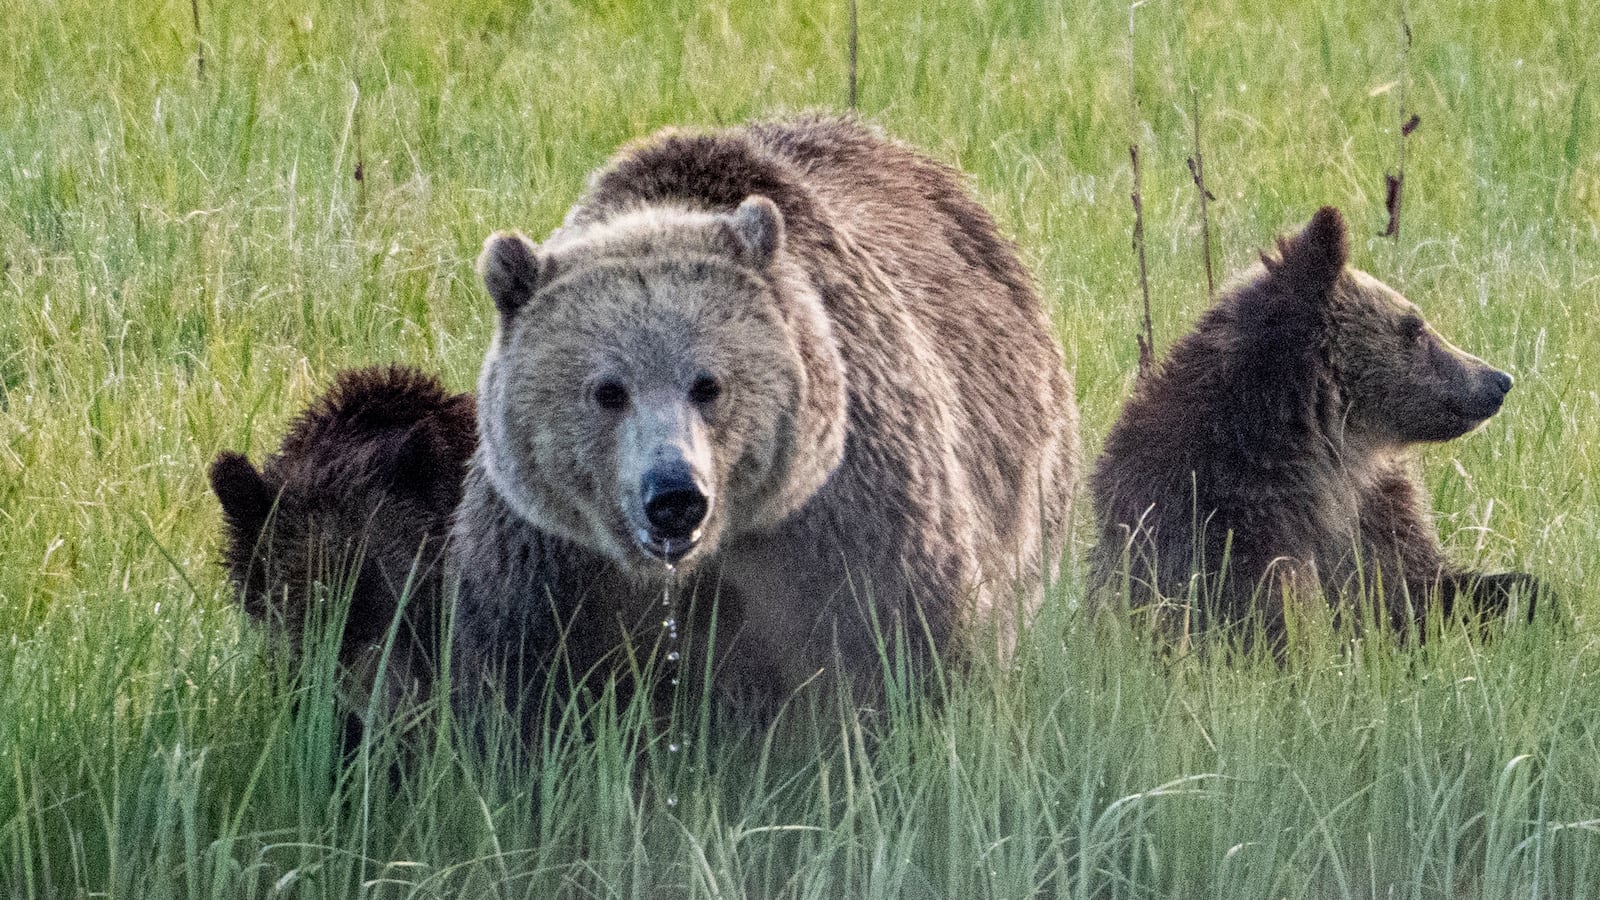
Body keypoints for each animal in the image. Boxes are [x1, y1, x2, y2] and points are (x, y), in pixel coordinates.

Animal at [452, 115, 1080, 722]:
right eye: (608, 391)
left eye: (709, 384)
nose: (675, 495)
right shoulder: (552, 559)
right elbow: (520, 680)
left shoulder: (847, 517)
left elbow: (904, 644)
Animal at [1088, 206, 1543, 648]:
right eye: (1414, 328)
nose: (1499, 380)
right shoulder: (1221, 528)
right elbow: (1275, 623)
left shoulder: (1374, 516)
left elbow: (1424, 589)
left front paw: (1529, 601)